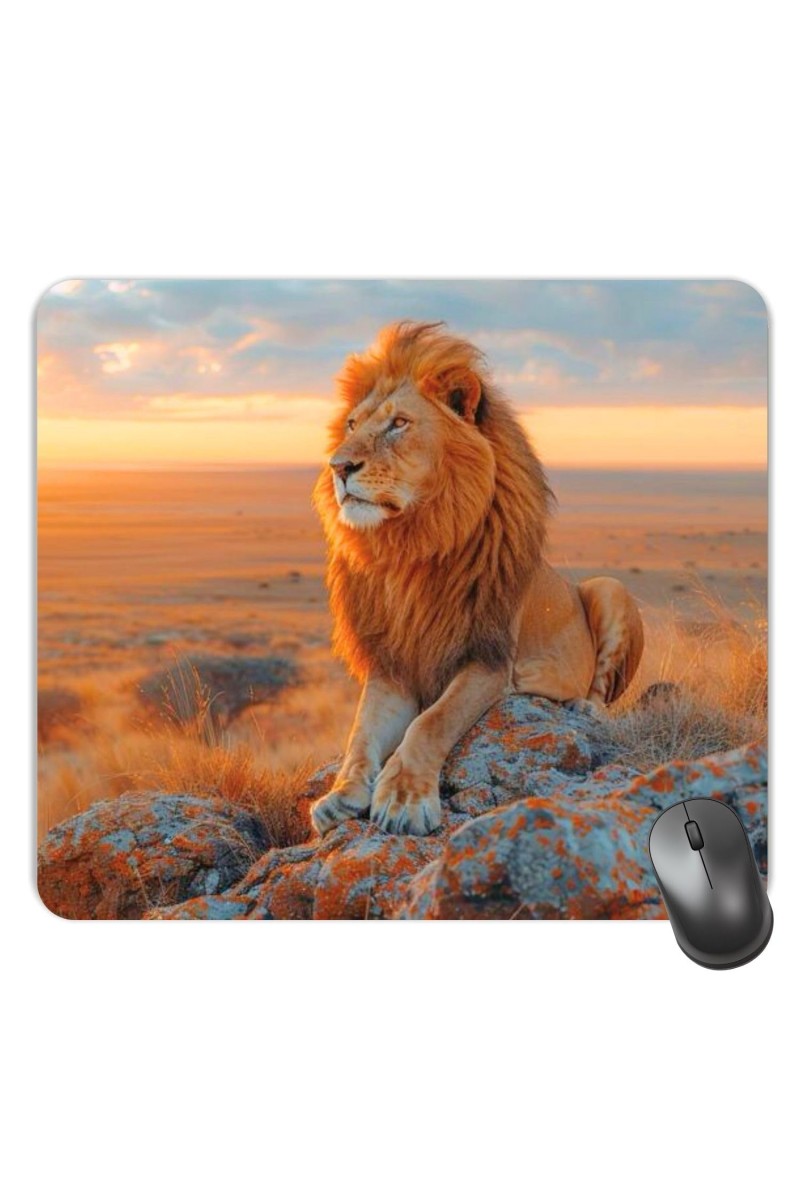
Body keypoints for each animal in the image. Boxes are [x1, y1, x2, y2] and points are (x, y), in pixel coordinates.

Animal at [311, 321, 644, 837]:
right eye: (351, 425)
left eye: (398, 424)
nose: (338, 467)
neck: (410, 550)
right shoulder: (393, 666)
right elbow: (360, 733)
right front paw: (341, 794)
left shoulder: (488, 661)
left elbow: (431, 722)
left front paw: (404, 799)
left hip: (609, 588)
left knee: (603, 692)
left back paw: (582, 707)